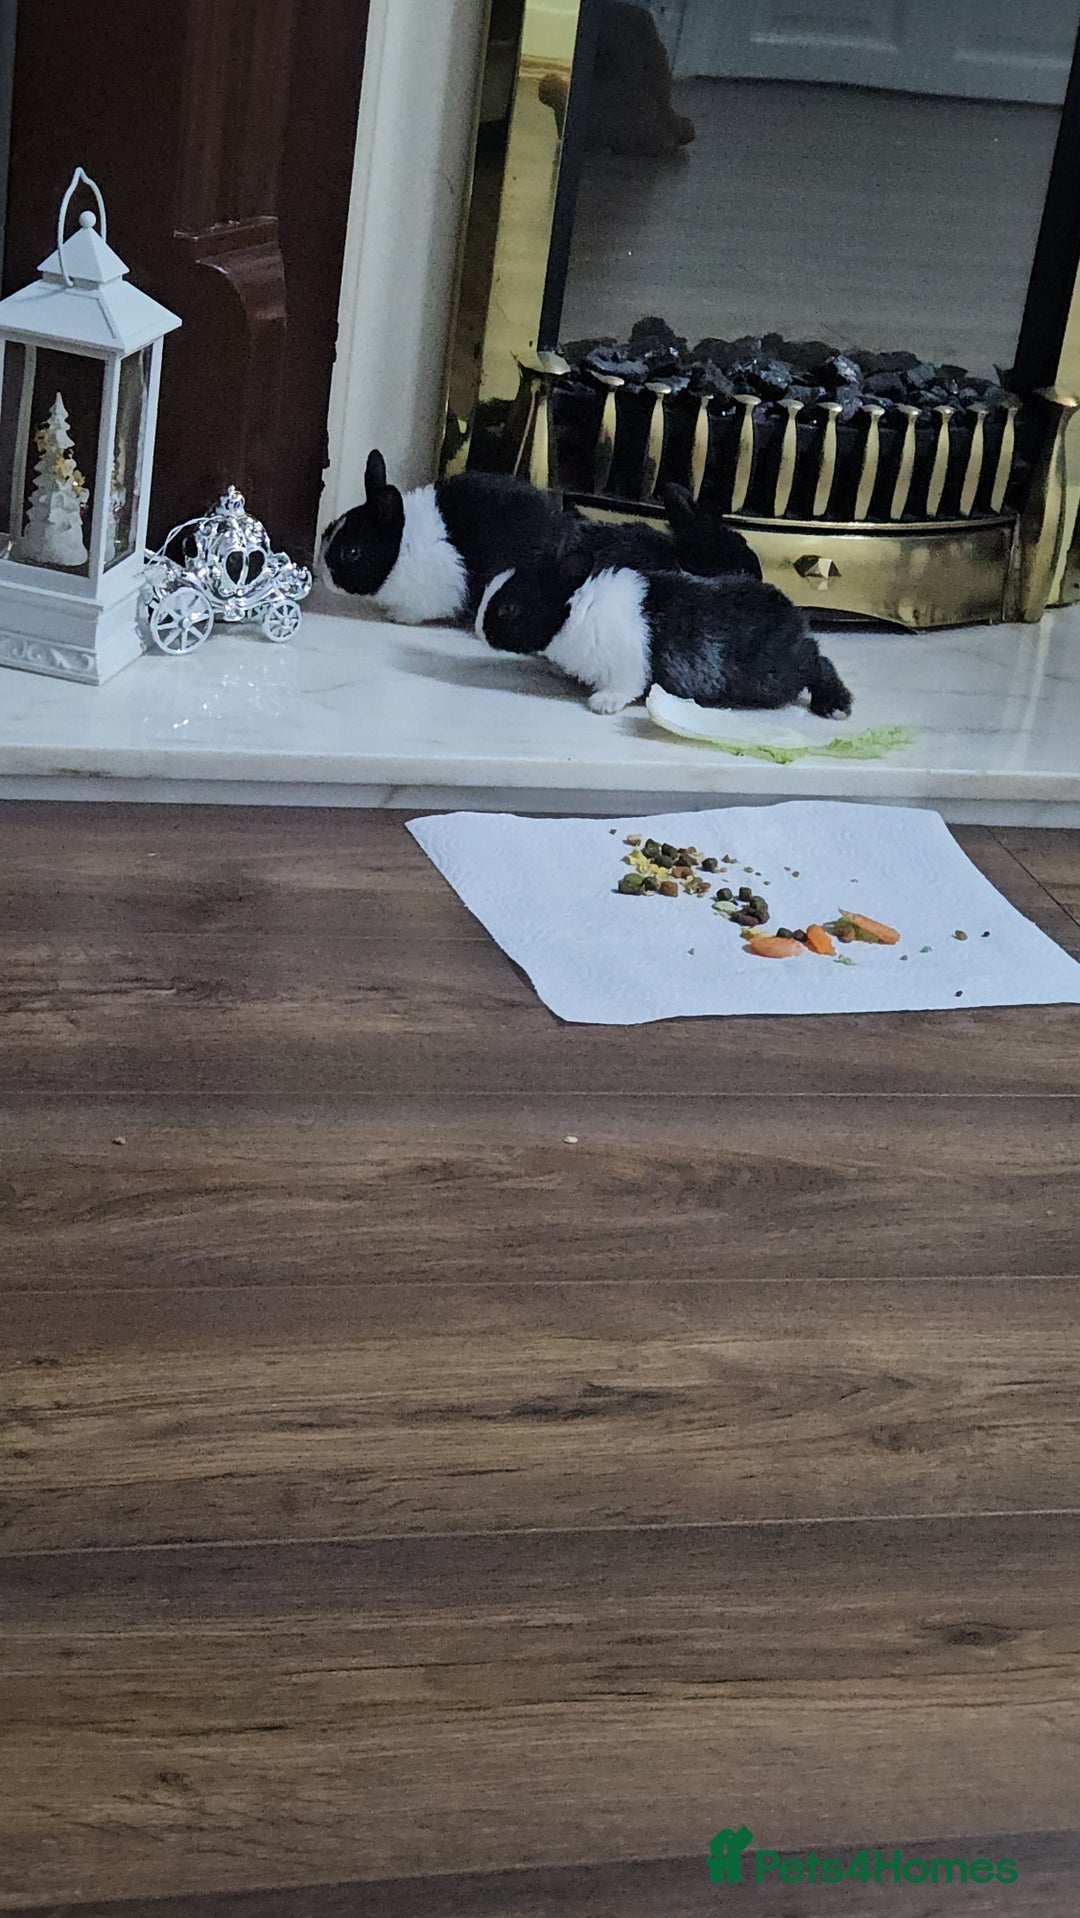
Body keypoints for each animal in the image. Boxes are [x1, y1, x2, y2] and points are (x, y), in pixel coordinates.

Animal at [476, 544, 853, 719]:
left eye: (509, 609)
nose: (479, 631)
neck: (578, 608)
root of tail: (793, 616)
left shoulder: (628, 666)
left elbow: (626, 686)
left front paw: (602, 704)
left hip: (775, 676)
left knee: (819, 662)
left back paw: (835, 705)